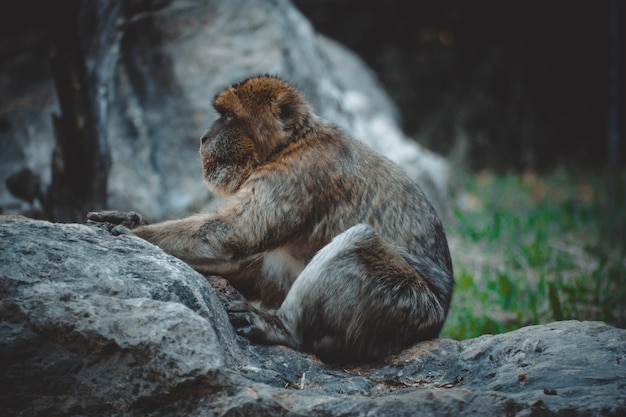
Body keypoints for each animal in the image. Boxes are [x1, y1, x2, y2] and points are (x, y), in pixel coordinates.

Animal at [88, 75, 450, 364]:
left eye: (228, 116)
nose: (204, 136)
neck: (290, 143)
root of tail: (438, 320)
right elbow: (243, 260)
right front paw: (132, 220)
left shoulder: (297, 172)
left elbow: (234, 235)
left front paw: (134, 234)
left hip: (405, 306)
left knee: (358, 241)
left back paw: (285, 330)